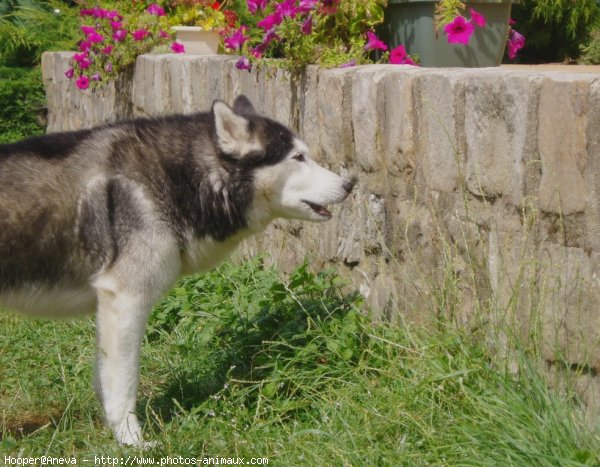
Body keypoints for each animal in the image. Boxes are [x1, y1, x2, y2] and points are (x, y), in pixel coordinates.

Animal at [0, 95, 354, 446]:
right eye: (298, 157)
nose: (350, 183)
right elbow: (124, 382)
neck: (181, 177)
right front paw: (132, 441)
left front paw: (114, 430)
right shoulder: (125, 300)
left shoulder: (109, 305)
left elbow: (105, 380)